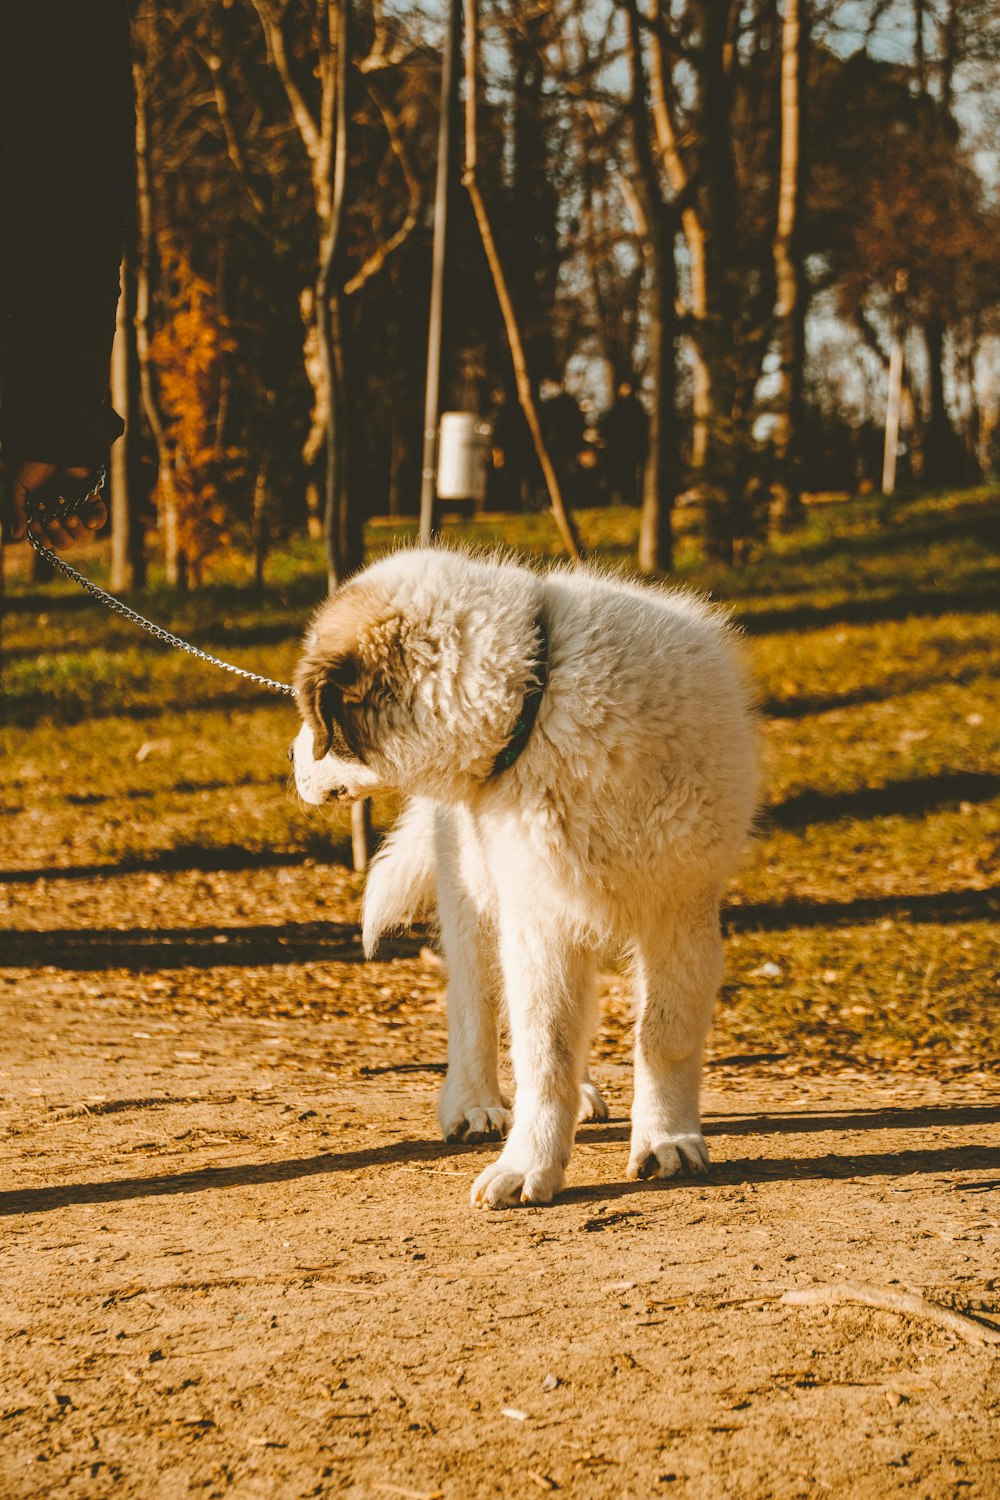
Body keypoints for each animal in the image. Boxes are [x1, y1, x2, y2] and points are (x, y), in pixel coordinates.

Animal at [293, 549, 761, 1206]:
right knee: (475, 1004)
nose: (291, 765)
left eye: (313, 718)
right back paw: (474, 1104)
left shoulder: (680, 910)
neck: (543, 694)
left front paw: (667, 1139)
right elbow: (543, 1051)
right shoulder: (538, 918)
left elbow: (663, 1036)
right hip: (477, 899)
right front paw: (529, 1164)